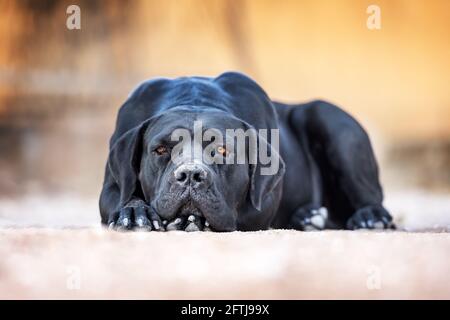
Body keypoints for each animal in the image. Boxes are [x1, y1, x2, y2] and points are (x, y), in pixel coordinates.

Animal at [99, 72, 394, 231]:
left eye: (222, 150)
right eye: (160, 149)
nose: (191, 175)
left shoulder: (261, 204)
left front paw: (193, 220)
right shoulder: (111, 187)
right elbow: (121, 197)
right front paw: (134, 212)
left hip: (330, 119)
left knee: (370, 199)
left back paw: (370, 217)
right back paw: (308, 216)